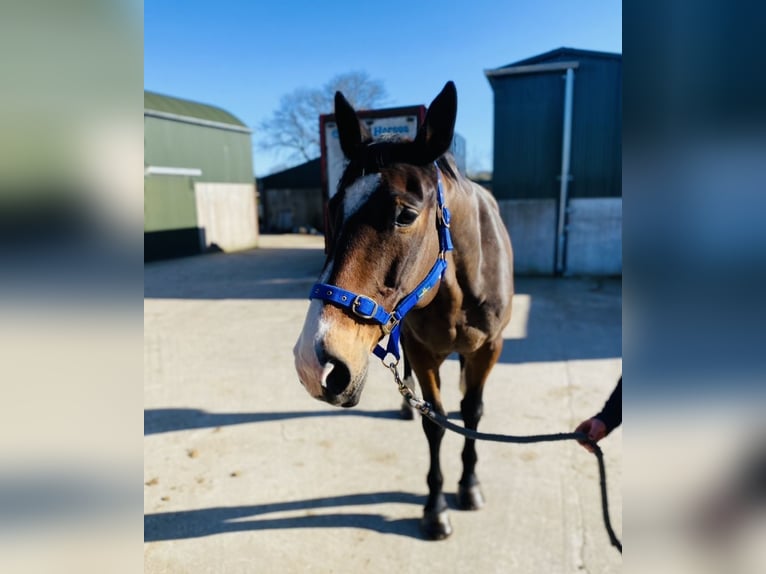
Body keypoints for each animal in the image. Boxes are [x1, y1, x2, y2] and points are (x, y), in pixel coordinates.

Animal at [293, 81, 514, 539]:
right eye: (332, 209)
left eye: (406, 214)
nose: (314, 362)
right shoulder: (423, 350)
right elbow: (436, 422)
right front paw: (435, 508)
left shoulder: (490, 348)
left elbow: (472, 413)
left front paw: (470, 486)